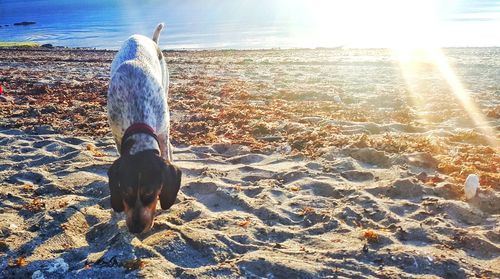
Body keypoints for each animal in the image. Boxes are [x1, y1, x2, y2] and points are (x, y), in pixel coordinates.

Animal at [106, 23, 183, 234]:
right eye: (125, 192)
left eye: (151, 193)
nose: (136, 229)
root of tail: (148, 39)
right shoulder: (117, 136)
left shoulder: (162, 132)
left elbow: (166, 152)